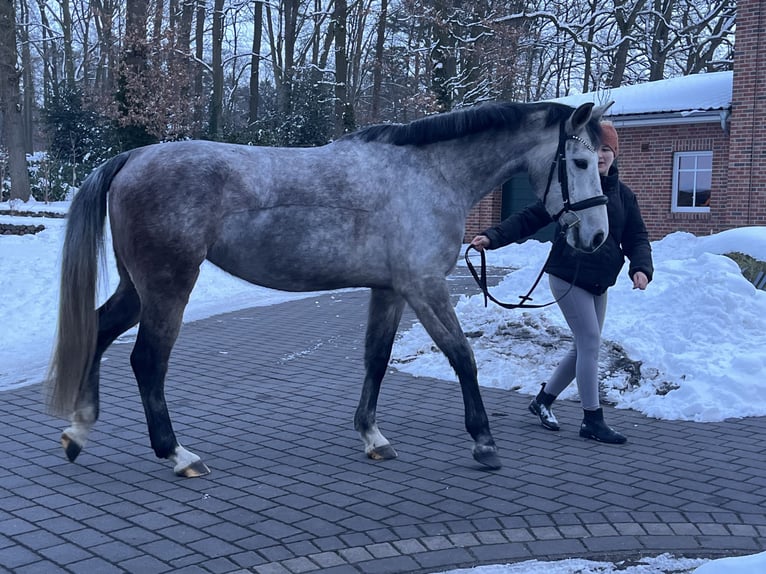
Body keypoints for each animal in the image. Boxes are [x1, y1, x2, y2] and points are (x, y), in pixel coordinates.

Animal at [46, 100, 611, 477]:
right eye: (582, 162)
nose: (597, 236)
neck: (427, 175)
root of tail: (134, 157)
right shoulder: (425, 287)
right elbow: (461, 356)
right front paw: (484, 441)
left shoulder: (390, 290)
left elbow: (376, 358)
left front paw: (372, 436)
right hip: (167, 289)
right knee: (146, 361)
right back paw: (177, 453)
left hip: (138, 288)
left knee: (100, 330)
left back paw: (79, 432)